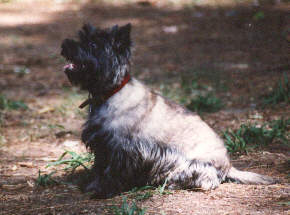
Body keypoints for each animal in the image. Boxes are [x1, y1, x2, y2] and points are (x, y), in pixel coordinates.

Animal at [60, 23, 276, 198]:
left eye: (93, 45)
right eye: (82, 37)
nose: (65, 44)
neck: (111, 92)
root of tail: (229, 166)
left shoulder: (120, 149)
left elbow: (111, 172)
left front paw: (103, 191)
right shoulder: (102, 147)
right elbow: (99, 168)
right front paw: (93, 186)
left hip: (191, 166)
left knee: (205, 181)